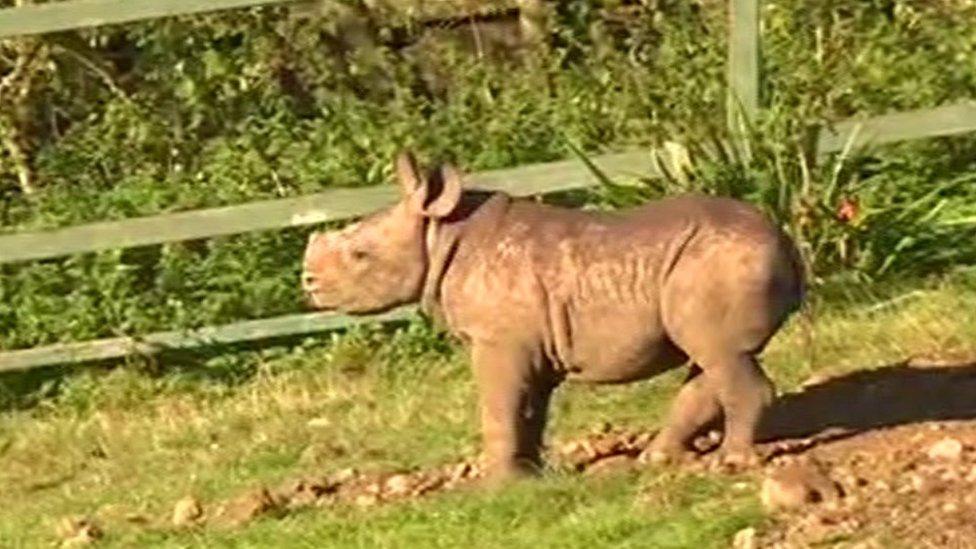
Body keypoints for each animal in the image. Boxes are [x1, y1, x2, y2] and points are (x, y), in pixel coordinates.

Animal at [302, 151, 804, 480]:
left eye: (360, 255)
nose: (308, 282)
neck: (440, 234)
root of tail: (784, 239)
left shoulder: (497, 340)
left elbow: (498, 406)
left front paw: (496, 486)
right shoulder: (530, 343)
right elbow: (529, 410)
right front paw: (532, 475)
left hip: (719, 260)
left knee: (721, 355)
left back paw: (731, 463)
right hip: (710, 263)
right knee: (712, 357)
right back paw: (658, 460)